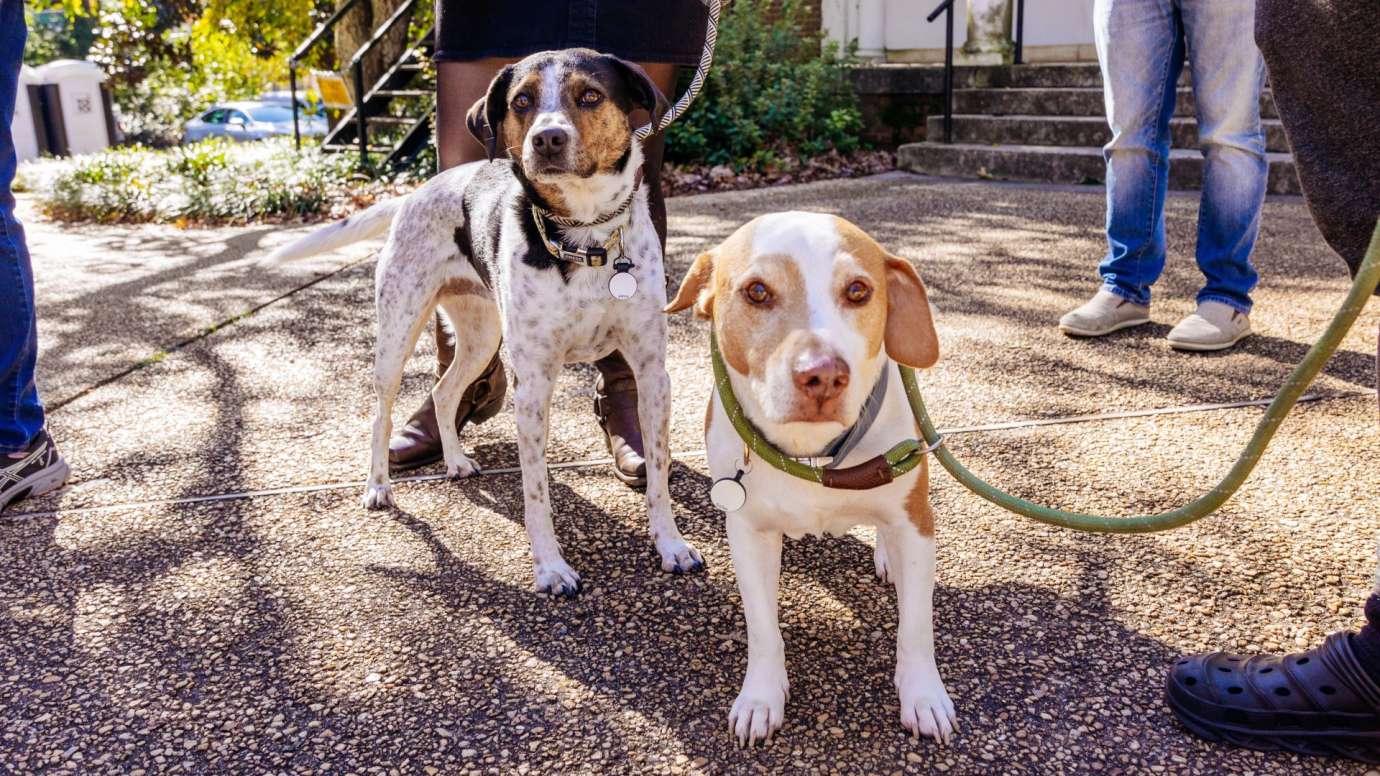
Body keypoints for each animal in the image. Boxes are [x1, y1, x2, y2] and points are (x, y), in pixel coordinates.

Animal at [264, 48, 706, 590]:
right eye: (522, 101)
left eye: (590, 95)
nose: (547, 139)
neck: (585, 237)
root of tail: (413, 194)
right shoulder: (533, 383)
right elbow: (536, 490)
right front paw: (550, 568)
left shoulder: (651, 371)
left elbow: (659, 474)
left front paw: (671, 545)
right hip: (398, 332)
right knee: (381, 413)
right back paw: (377, 486)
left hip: (479, 336)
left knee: (442, 391)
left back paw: (454, 461)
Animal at [667, 211, 960, 745]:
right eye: (757, 291)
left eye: (859, 290)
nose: (822, 375)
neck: (813, 452)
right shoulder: (747, 533)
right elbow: (763, 627)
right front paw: (760, 698)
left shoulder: (916, 523)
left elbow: (916, 626)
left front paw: (924, 695)